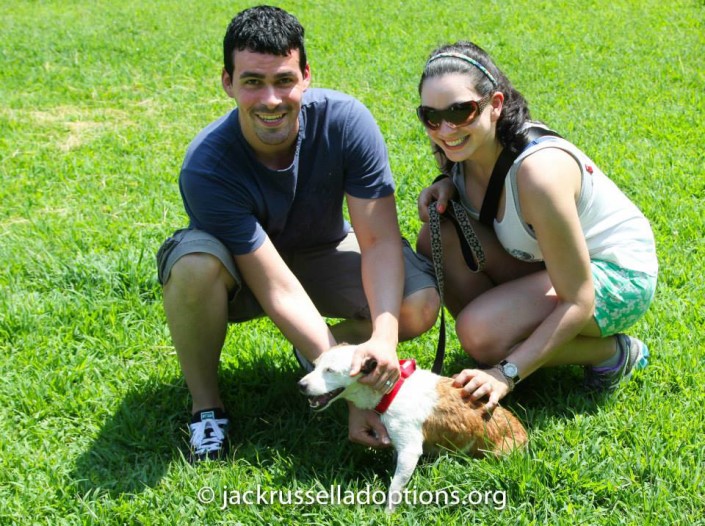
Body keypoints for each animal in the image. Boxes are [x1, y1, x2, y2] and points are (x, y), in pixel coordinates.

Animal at [296, 344, 528, 512]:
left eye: (330, 371)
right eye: (315, 366)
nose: (301, 385)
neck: (392, 390)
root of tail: (525, 435)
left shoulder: (409, 452)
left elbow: (395, 488)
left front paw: (387, 515)